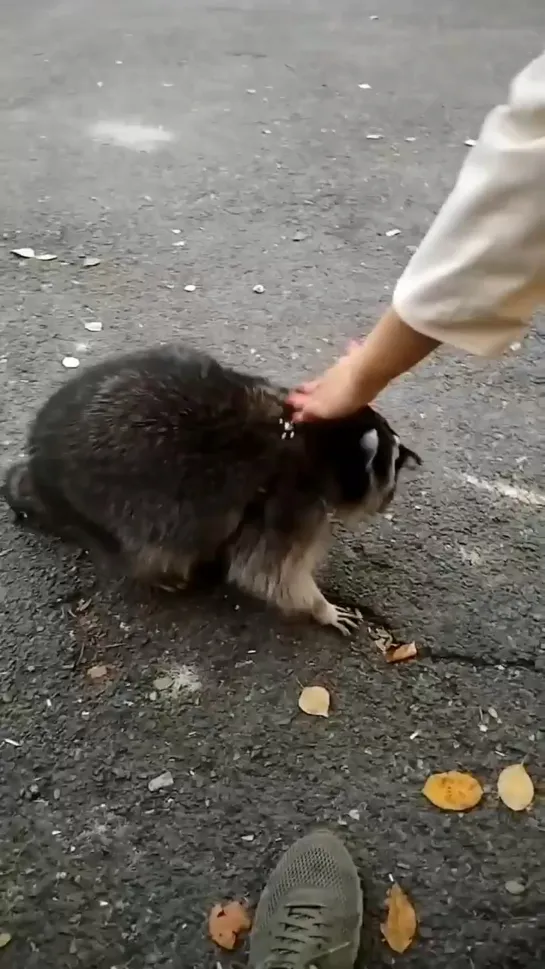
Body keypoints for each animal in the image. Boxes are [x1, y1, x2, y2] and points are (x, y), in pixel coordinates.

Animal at [1, 344, 420, 632]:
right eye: (391, 469)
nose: (389, 497)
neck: (317, 439)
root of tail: (40, 463)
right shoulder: (290, 503)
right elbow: (267, 572)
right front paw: (321, 608)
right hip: (109, 507)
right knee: (155, 546)